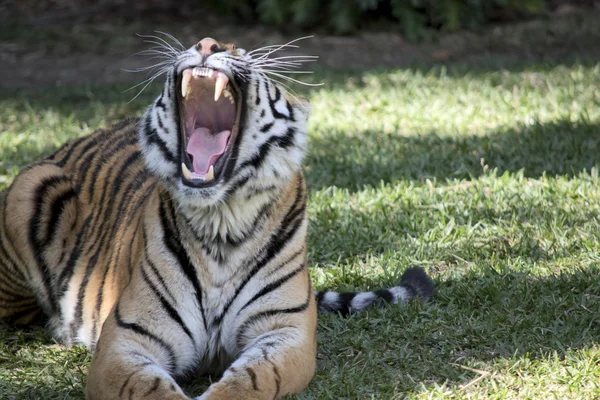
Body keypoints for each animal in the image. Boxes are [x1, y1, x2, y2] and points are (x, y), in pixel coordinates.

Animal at [0, 36, 432, 398]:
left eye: (241, 49)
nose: (208, 43)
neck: (222, 221)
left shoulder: (285, 334)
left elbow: (249, 382)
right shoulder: (125, 341)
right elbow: (151, 390)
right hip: (31, 187)